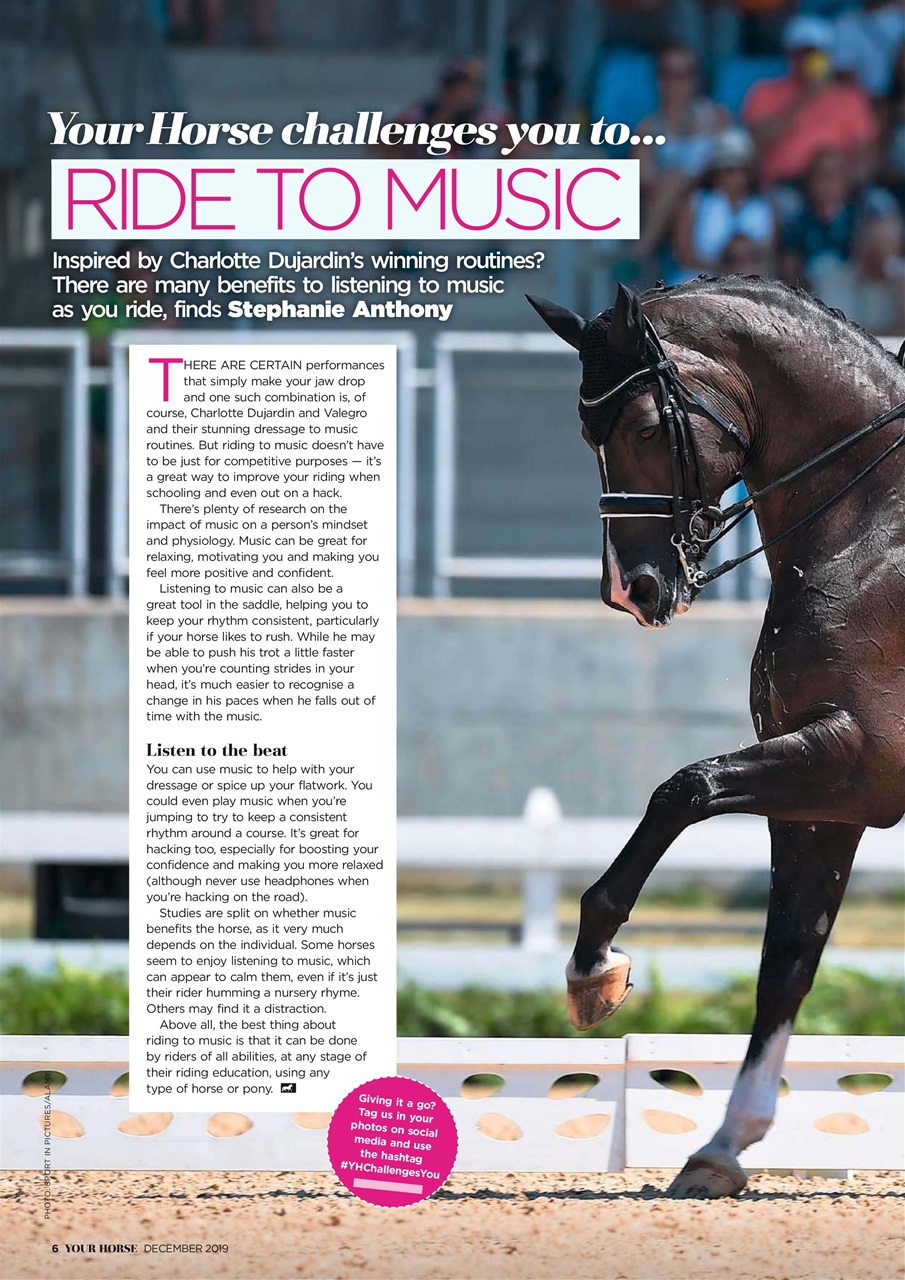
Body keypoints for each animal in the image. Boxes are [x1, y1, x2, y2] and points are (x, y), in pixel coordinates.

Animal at [528, 277, 905, 1199]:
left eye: (642, 428)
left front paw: (592, 968)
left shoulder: (859, 761)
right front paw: (722, 1147)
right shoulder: (823, 799)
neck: (870, 529)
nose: (631, 590)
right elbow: (785, 965)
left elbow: (681, 790)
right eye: (585, 435)